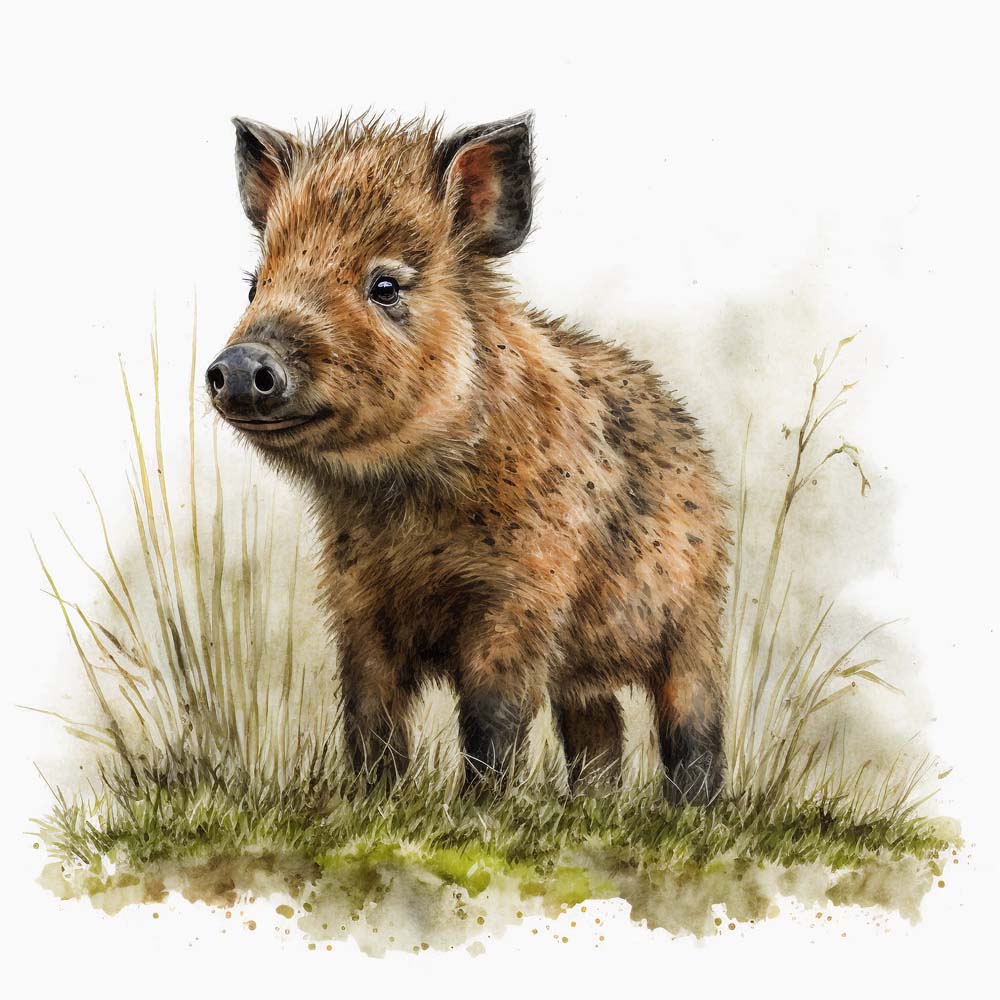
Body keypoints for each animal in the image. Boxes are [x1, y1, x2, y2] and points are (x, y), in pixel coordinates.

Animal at [207, 112, 730, 800]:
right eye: (255, 285)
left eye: (385, 285)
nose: (241, 366)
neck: (404, 506)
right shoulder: (355, 600)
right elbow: (369, 717)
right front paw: (374, 800)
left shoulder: (523, 593)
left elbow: (491, 718)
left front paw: (478, 808)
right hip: (590, 670)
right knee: (599, 729)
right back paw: (591, 805)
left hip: (697, 618)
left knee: (693, 724)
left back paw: (691, 808)